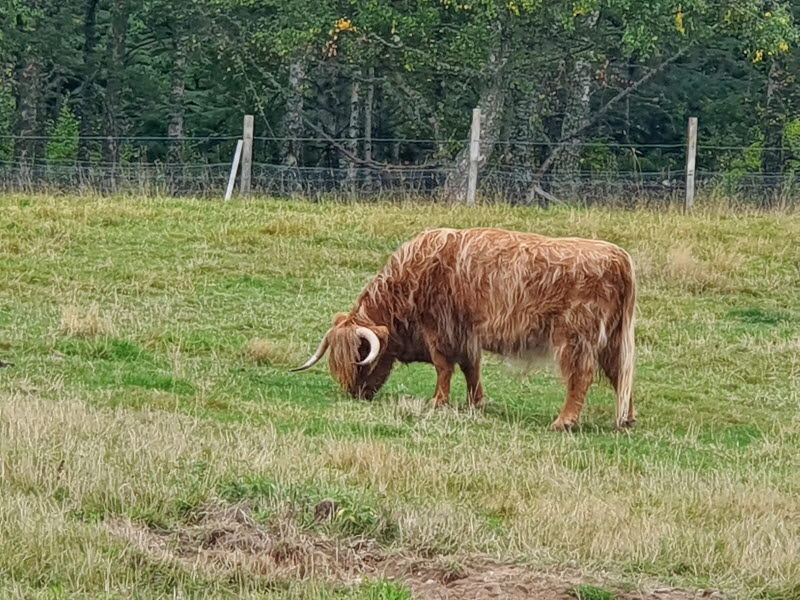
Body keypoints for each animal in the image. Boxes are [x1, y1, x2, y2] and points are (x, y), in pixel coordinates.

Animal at [290, 227, 636, 428]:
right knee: (621, 374)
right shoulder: (467, 334)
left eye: (361, 355)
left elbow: (444, 367)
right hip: (612, 340)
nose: (355, 393)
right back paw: (626, 419)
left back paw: (564, 421)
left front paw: (437, 401)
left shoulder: (441, 330)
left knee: (581, 376)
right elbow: (472, 368)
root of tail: (618, 257)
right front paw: (476, 403)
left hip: (576, 337)